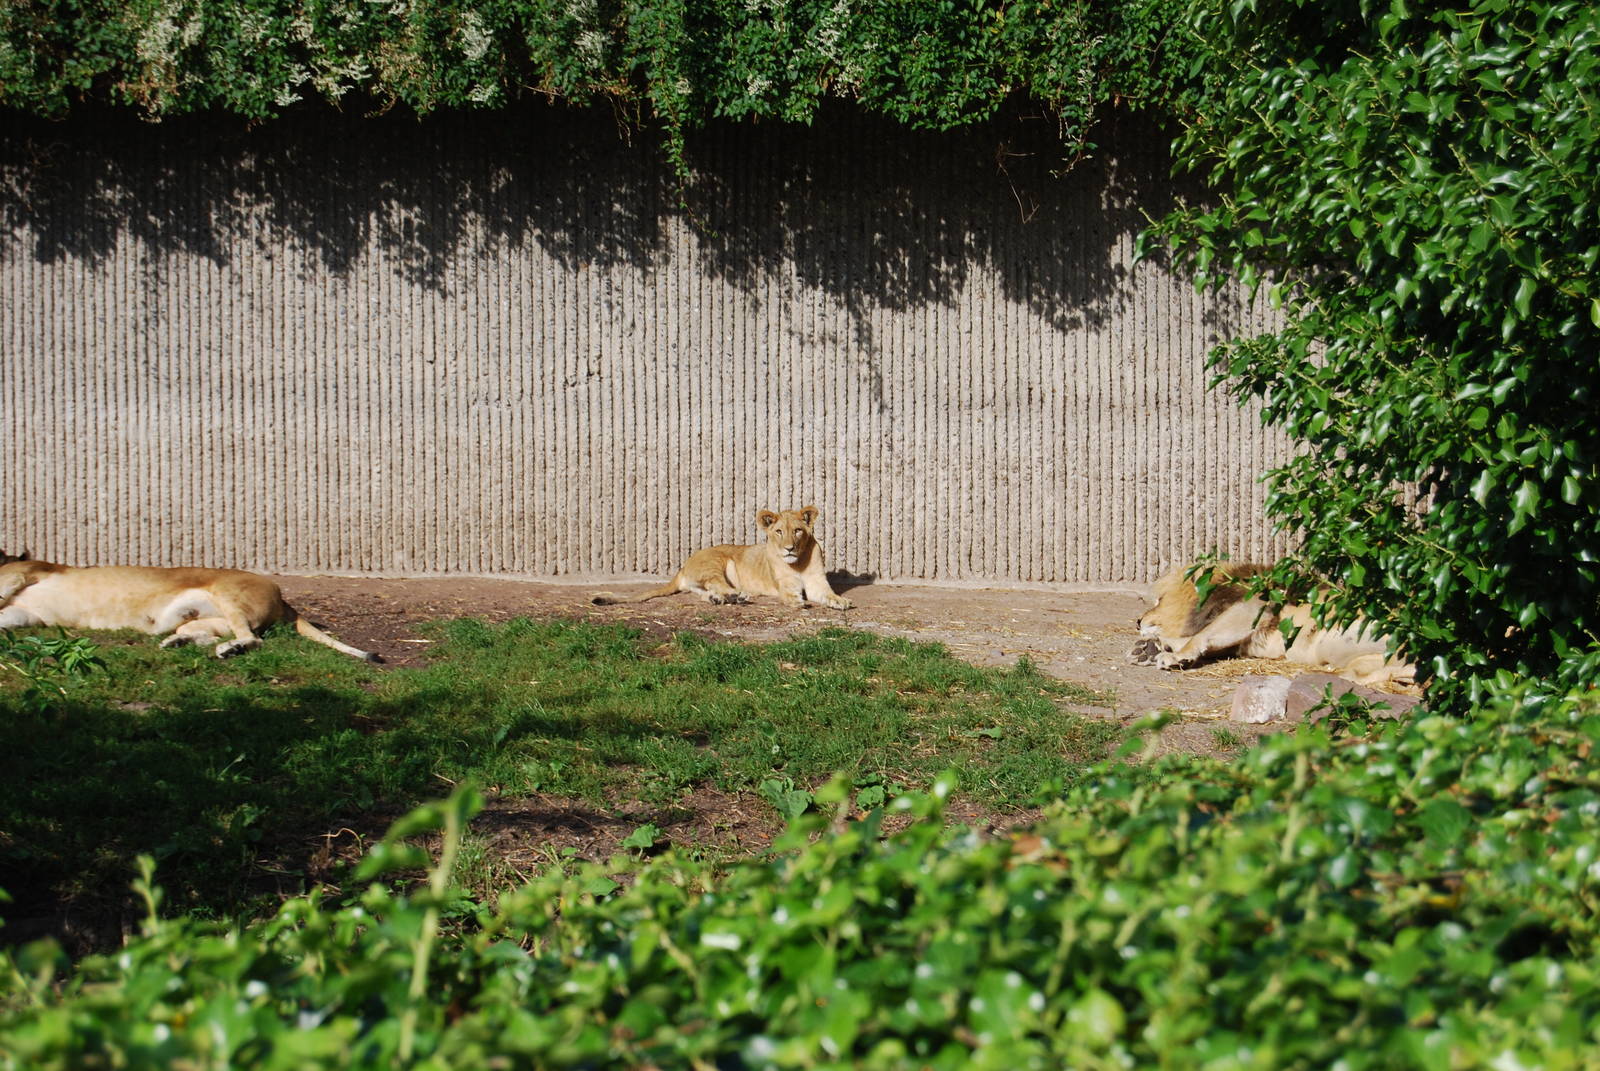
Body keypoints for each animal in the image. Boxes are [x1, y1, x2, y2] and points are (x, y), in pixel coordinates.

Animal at [0, 551, 380, 662]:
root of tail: (283, 598)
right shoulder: (25, 613)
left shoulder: (23, 572)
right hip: (198, 617)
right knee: (210, 634)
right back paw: (178, 642)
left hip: (230, 595)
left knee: (253, 639)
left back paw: (230, 650)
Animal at [592, 507, 853, 610]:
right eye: (779, 531)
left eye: (798, 531)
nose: (789, 549)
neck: (797, 563)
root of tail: (683, 566)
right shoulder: (786, 586)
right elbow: (790, 596)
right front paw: (798, 602)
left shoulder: (818, 584)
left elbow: (829, 595)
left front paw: (841, 601)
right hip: (717, 561)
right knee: (716, 583)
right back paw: (736, 595)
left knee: (705, 592)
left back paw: (721, 599)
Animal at [1127, 561, 1415, 688]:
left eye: (1160, 600)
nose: (1138, 621)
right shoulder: (1252, 641)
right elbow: (1198, 639)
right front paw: (1149, 649)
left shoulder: (1253, 609)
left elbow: (1199, 636)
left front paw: (1175, 656)